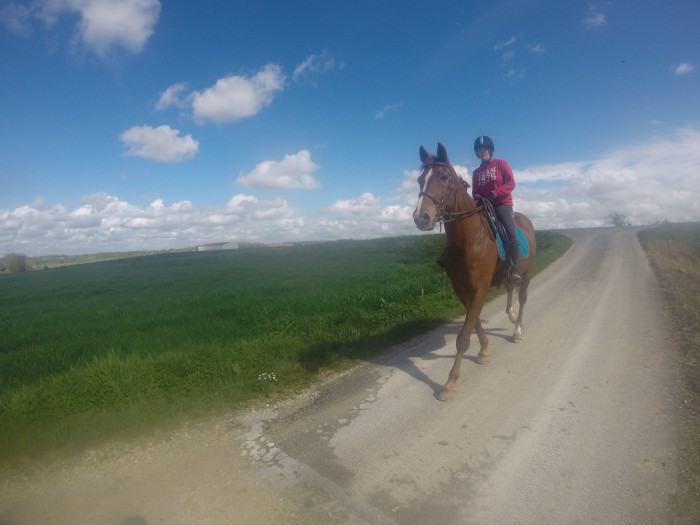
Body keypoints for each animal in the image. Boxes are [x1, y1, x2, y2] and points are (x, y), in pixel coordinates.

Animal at [413, 143, 537, 401]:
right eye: (420, 179)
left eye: (444, 177)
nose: (421, 217)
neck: (468, 239)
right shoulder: (461, 289)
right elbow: (475, 322)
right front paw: (484, 351)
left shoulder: (479, 287)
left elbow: (462, 337)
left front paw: (450, 383)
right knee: (510, 287)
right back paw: (510, 314)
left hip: (528, 273)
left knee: (522, 297)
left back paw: (517, 329)